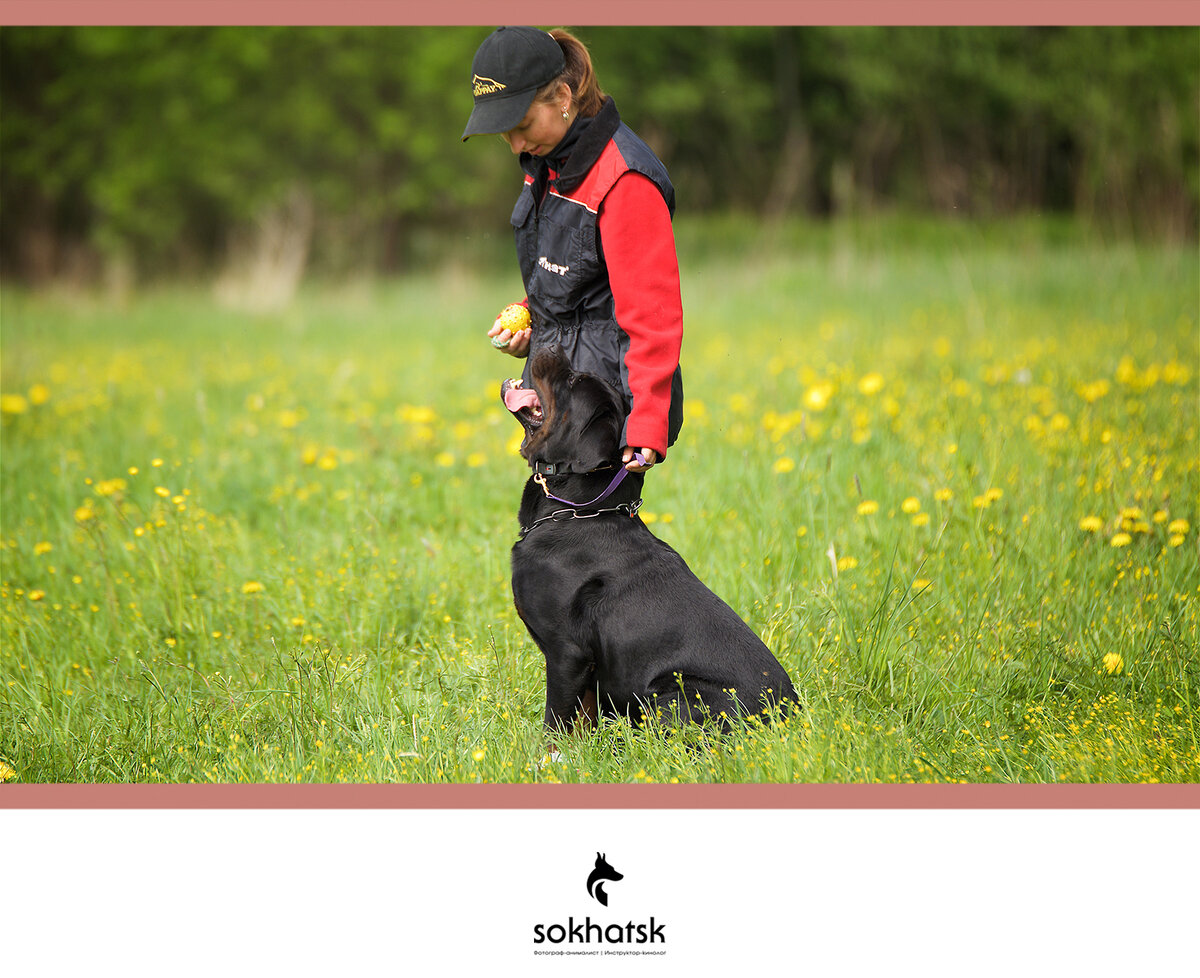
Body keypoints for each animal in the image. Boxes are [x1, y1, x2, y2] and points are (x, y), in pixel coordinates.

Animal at [499, 348, 796, 739]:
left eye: (574, 380)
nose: (551, 349)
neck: (581, 510)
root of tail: (788, 720)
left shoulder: (567, 653)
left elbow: (556, 724)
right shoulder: (588, 666)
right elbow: (584, 719)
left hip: (673, 695)